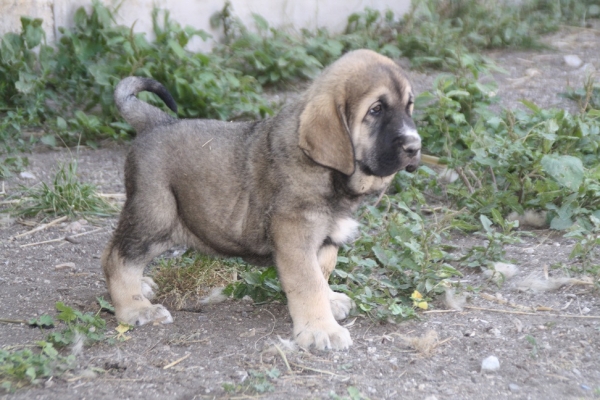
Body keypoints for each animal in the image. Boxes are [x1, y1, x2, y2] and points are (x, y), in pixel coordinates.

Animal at [103, 50, 422, 350]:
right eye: (376, 109)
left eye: (409, 106)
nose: (415, 146)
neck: (331, 173)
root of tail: (157, 122)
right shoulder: (295, 236)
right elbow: (309, 282)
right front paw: (322, 329)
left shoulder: (326, 238)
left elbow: (322, 271)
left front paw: (329, 303)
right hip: (155, 216)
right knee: (117, 259)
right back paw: (134, 308)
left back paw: (142, 287)